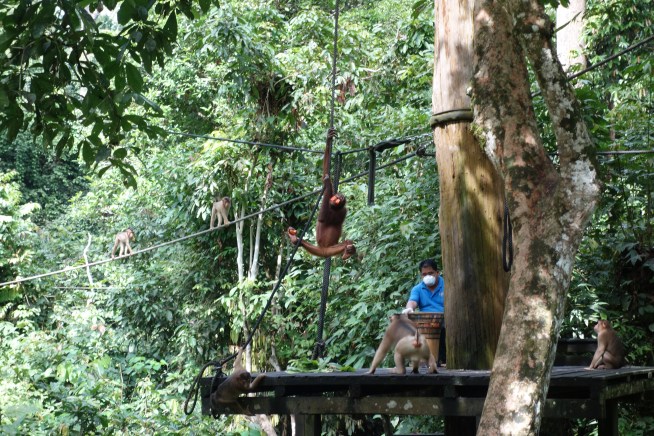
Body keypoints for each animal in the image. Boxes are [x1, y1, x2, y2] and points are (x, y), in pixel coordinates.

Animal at [287, 128, 356, 259]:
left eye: (338, 199)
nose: (334, 199)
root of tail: (324, 251)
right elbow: (325, 174)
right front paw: (329, 139)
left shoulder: (338, 209)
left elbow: (322, 218)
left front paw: (327, 183)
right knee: (348, 242)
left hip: (330, 249)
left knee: (345, 242)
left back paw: (349, 251)